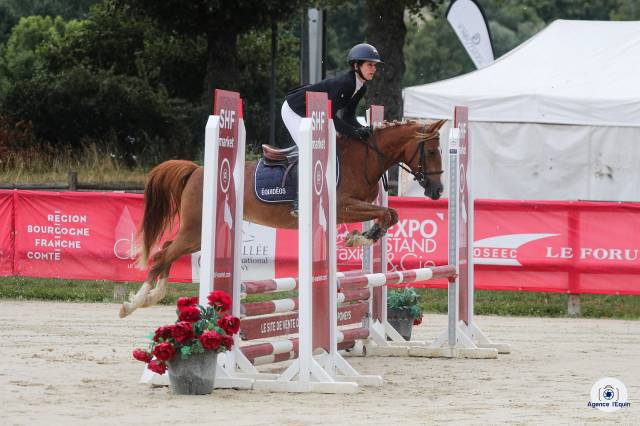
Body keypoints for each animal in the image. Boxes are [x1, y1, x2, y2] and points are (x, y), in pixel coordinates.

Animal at [119, 119, 446, 318]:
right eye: (431, 150)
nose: (437, 190)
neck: (364, 156)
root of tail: (196, 170)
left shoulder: (358, 205)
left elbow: (391, 214)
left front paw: (363, 236)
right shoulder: (343, 206)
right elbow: (386, 213)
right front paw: (358, 238)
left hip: (197, 234)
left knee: (166, 251)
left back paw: (152, 296)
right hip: (196, 229)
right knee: (162, 254)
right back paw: (134, 303)